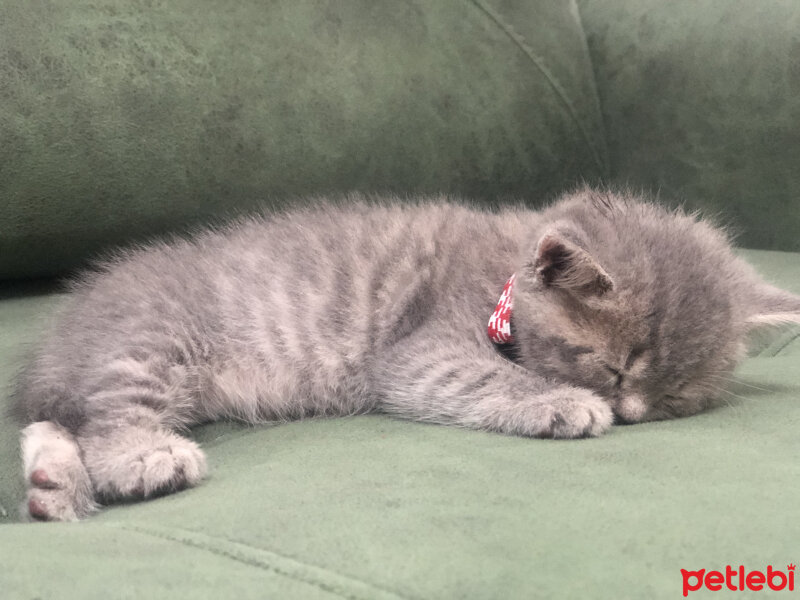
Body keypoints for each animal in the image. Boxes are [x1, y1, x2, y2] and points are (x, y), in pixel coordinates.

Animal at [12, 189, 800, 520]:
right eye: (615, 369)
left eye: (674, 402)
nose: (633, 412)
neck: (501, 276)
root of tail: (62, 328)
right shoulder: (419, 350)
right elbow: (474, 376)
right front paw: (563, 403)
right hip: (153, 338)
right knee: (108, 413)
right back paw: (140, 457)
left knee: (57, 420)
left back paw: (54, 485)